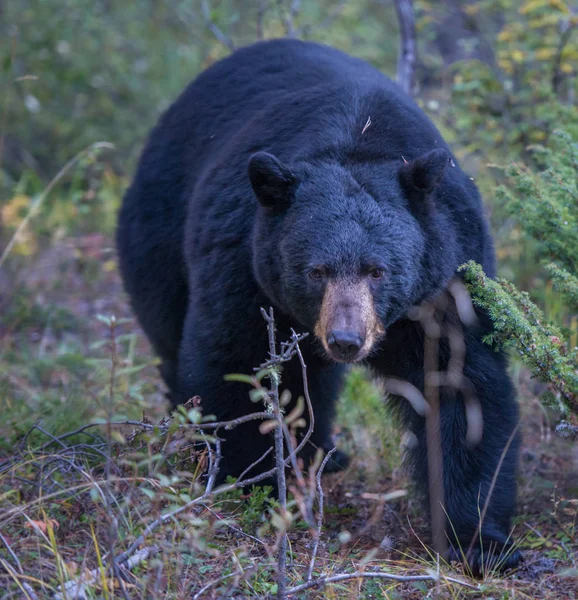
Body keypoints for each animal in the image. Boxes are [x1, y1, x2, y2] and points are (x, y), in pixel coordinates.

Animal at [116, 37, 516, 572]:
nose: (346, 339)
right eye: (316, 270)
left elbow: (462, 384)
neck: (356, 137)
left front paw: (478, 539)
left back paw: (322, 451)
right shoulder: (245, 261)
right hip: (159, 234)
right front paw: (256, 483)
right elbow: (239, 363)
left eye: (377, 270)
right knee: (170, 331)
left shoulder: (446, 274)